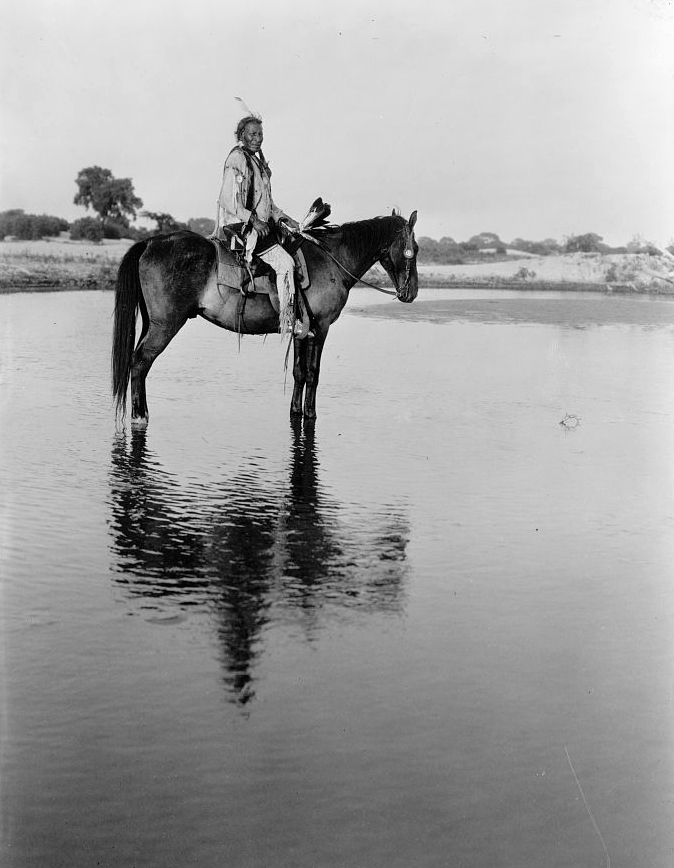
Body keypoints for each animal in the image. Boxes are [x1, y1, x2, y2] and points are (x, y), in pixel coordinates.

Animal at [110, 210, 414, 428]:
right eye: (414, 250)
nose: (410, 293)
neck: (332, 260)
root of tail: (151, 241)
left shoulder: (303, 329)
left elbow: (299, 372)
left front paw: (296, 412)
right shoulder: (322, 327)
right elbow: (313, 373)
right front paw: (311, 414)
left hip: (151, 323)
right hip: (165, 325)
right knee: (140, 363)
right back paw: (139, 416)